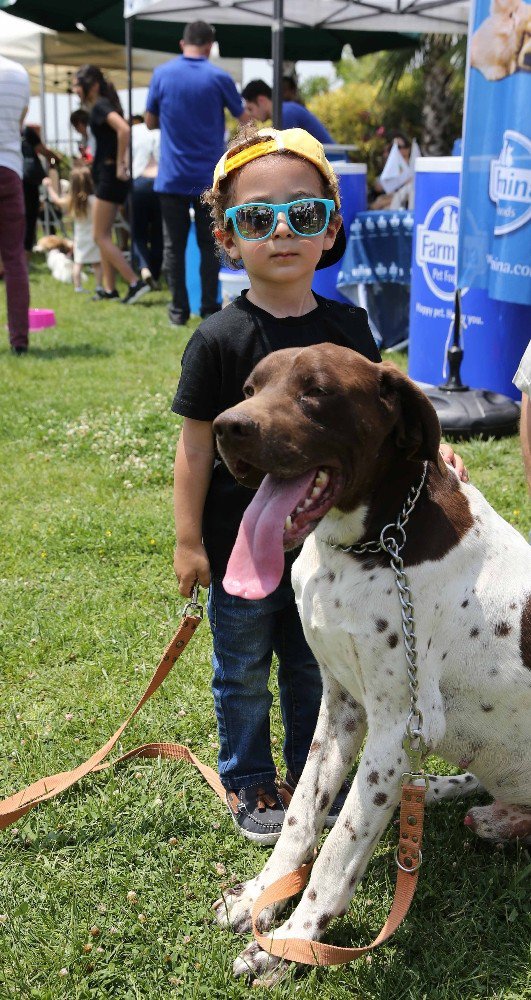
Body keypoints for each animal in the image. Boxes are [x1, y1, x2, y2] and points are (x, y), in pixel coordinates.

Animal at [212, 342, 531, 976]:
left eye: (316, 392)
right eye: (250, 387)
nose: (227, 428)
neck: (375, 545)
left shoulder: (397, 729)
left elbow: (339, 850)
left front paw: (293, 941)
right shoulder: (342, 706)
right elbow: (300, 817)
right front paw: (262, 894)